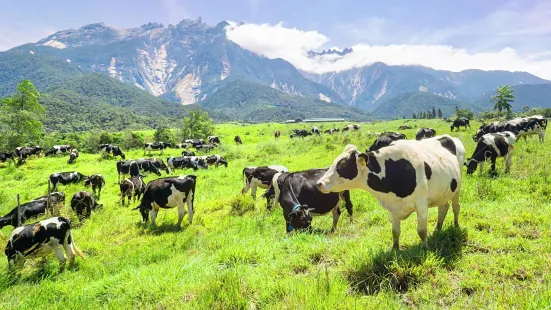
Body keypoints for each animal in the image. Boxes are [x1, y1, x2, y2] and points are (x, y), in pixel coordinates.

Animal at [320, 134, 466, 251]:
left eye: (343, 165)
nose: (319, 183)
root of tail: (450, 137)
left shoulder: (421, 204)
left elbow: (422, 231)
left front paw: (425, 249)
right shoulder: (392, 207)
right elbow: (395, 232)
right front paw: (395, 250)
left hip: (457, 188)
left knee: (456, 207)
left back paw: (456, 226)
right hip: (444, 192)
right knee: (444, 207)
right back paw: (437, 229)